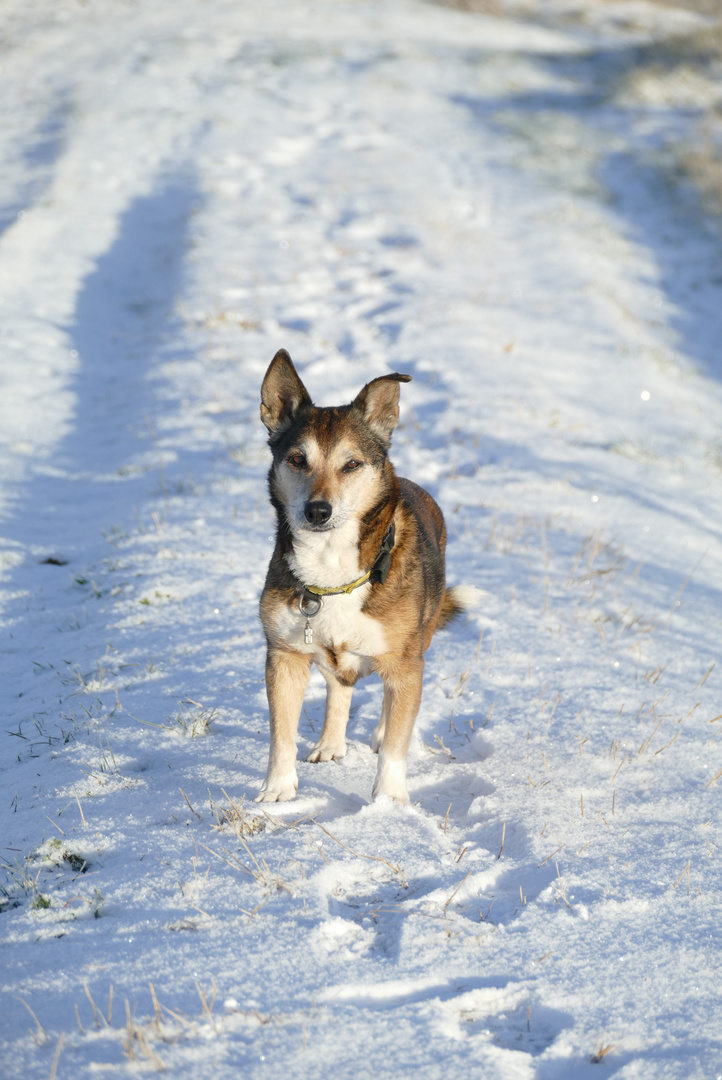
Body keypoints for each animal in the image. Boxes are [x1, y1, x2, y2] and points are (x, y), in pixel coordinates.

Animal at [254, 349, 479, 807]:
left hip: (417, 640)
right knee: (339, 686)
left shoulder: (405, 661)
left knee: (394, 706)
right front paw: (277, 790)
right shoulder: (284, 654)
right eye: (297, 459)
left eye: (352, 464)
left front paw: (389, 800)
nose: (317, 511)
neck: (332, 571)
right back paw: (330, 744)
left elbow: (396, 740)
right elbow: (281, 732)